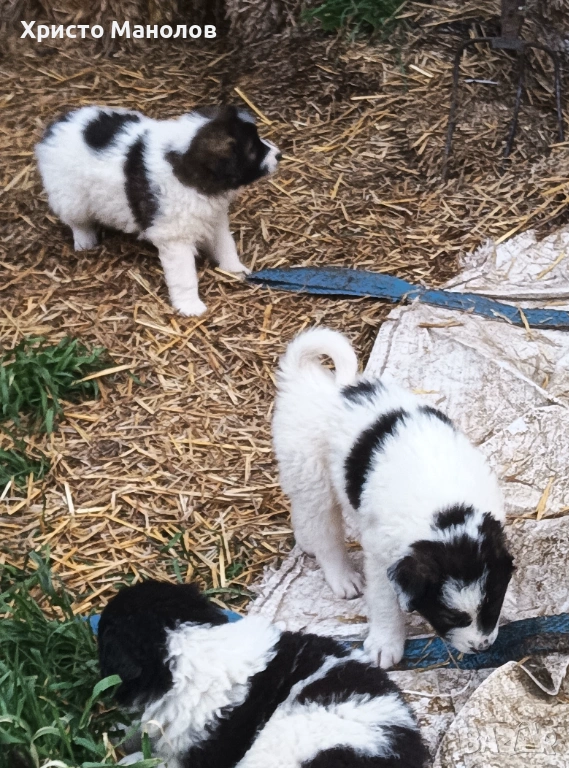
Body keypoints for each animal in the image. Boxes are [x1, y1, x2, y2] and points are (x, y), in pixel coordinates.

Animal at [35, 105, 281, 316]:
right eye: (252, 150)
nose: (279, 154)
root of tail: (56, 126)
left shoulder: (213, 217)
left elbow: (225, 245)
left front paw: (235, 269)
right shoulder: (175, 238)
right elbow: (184, 275)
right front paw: (190, 306)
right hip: (71, 196)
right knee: (78, 222)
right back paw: (85, 242)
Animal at [272, 327, 514, 669]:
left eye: (493, 605)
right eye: (449, 616)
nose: (482, 646)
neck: (446, 514)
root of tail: (321, 384)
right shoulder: (381, 553)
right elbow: (385, 600)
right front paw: (385, 644)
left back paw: (306, 542)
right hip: (310, 470)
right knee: (325, 530)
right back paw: (342, 576)